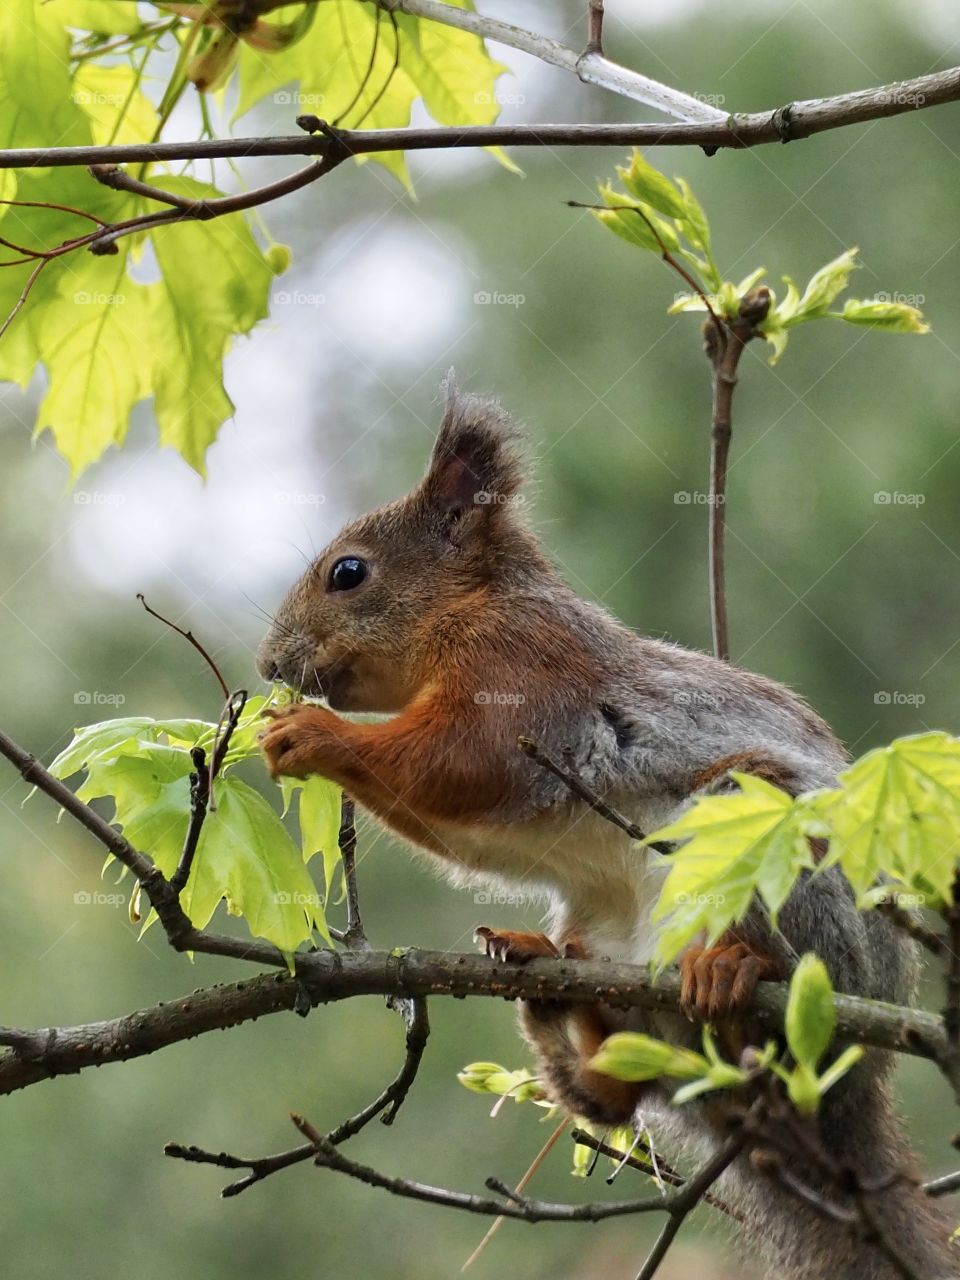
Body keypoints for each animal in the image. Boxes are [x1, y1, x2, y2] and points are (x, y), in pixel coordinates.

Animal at [257, 381, 955, 1280]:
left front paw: (312, 734)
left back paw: (734, 968)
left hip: (770, 852)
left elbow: (461, 762)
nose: (270, 666)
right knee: (623, 1094)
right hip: (607, 938)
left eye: (348, 572)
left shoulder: (520, 676)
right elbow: (459, 824)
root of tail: (861, 1078)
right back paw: (554, 994)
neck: (472, 607)